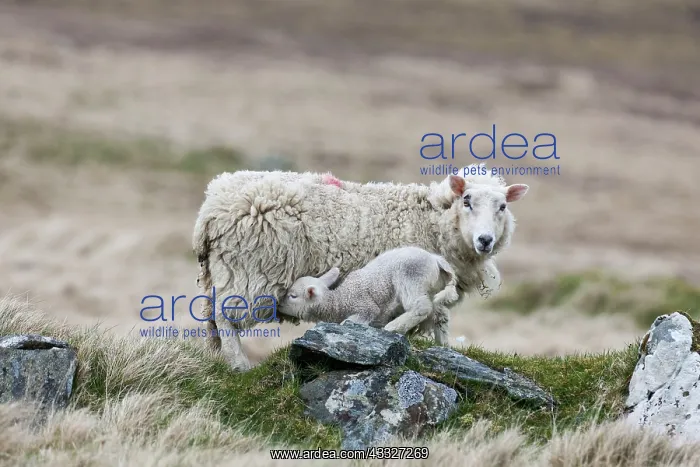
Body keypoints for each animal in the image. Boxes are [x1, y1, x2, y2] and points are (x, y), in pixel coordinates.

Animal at [280, 246, 461, 345]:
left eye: (293, 296)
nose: (279, 303)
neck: (339, 300)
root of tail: (436, 260)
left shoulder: (366, 307)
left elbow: (354, 320)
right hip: (433, 289)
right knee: (440, 314)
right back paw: (443, 343)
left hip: (411, 279)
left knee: (421, 307)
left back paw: (394, 327)